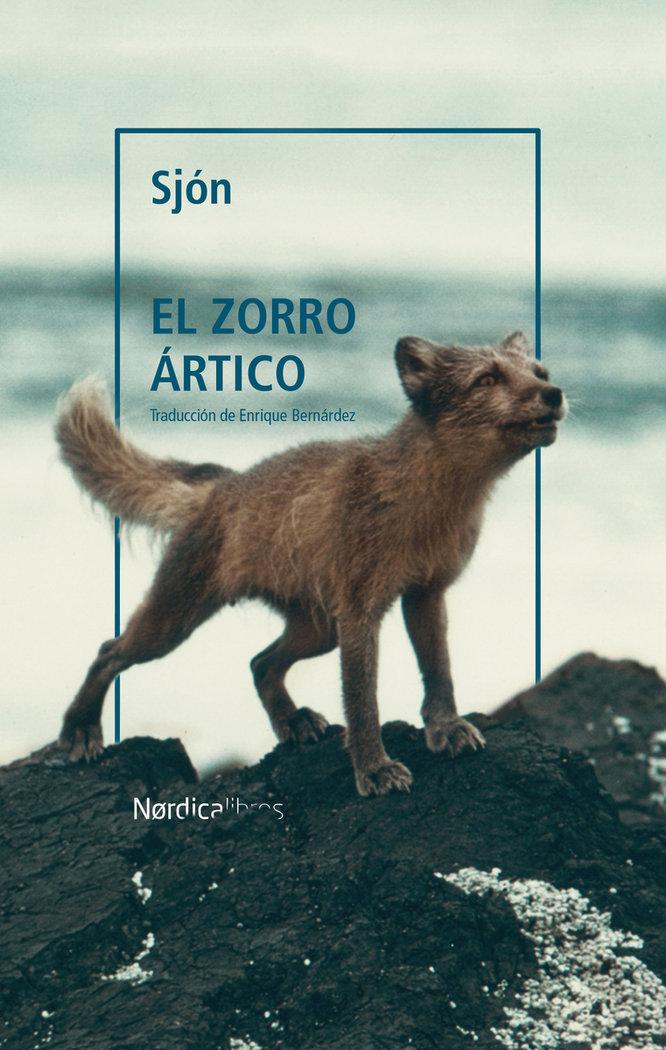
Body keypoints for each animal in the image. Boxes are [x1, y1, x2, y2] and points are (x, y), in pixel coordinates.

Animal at [56, 331, 566, 796]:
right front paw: (374, 769)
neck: (426, 500)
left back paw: (294, 722)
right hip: (175, 622)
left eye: (539, 372)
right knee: (109, 651)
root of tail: (224, 484)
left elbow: (439, 672)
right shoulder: (361, 612)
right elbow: (363, 702)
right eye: (488, 378)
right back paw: (79, 730)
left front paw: (446, 728)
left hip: (319, 629)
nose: (555, 393)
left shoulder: (425, 592)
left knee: (260, 663)